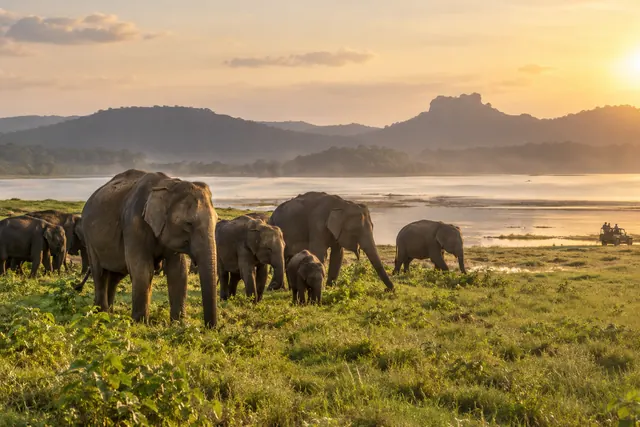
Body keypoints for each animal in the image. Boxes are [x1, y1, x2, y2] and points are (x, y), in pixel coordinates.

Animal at [81, 169, 219, 328]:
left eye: (217, 220)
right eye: (188, 223)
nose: (210, 328)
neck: (169, 184)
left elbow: (178, 271)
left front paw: (178, 323)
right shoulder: (133, 224)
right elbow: (143, 270)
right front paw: (140, 324)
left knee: (116, 275)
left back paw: (109, 313)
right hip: (89, 238)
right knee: (100, 273)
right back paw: (101, 313)